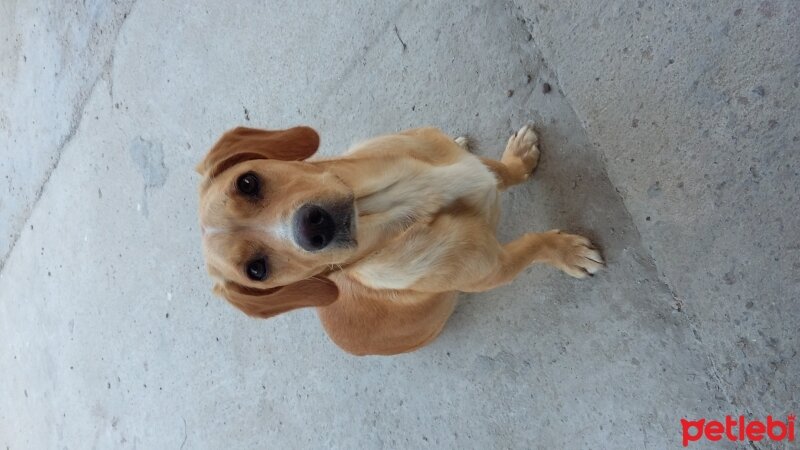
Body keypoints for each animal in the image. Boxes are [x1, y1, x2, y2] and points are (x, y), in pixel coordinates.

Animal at [197, 123, 604, 356]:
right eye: (257, 270)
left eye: (247, 182)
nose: (312, 228)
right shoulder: (497, 268)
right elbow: (535, 245)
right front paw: (569, 253)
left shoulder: (472, 169)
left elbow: (503, 171)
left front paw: (518, 158)